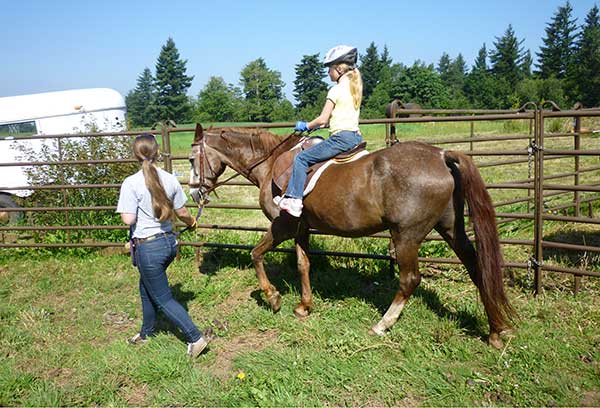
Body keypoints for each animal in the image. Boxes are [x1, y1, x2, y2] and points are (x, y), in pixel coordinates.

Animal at [189, 123, 516, 348]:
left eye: (192, 160)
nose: (194, 193)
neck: (271, 164)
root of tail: (441, 155)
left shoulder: (283, 226)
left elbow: (256, 254)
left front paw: (273, 297)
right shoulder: (301, 228)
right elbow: (303, 264)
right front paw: (304, 306)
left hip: (406, 236)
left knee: (410, 279)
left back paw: (382, 324)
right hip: (451, 229)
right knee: (477, 268)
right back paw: (495, 331)